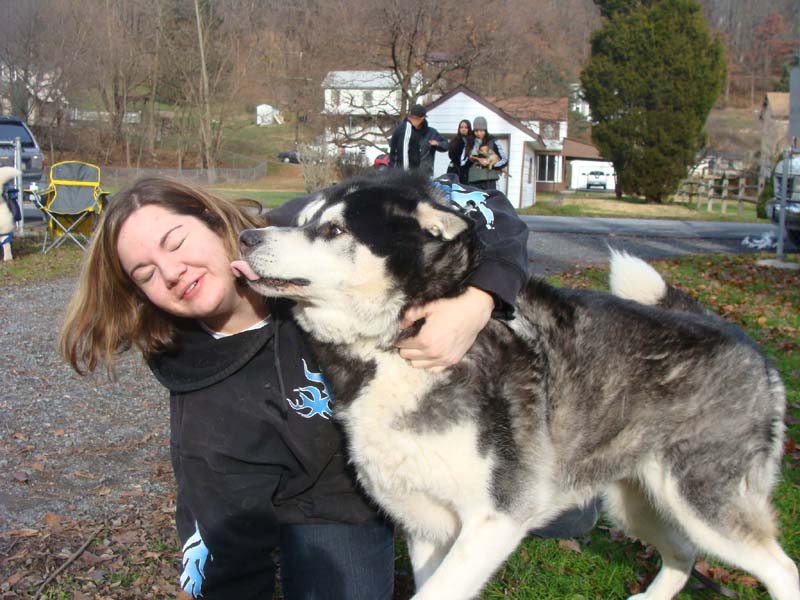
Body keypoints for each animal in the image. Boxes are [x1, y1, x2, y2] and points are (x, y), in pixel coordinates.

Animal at [230, 172, 792, 600]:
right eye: (304, 220)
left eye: (333, 229)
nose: (247, 238)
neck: (391, 344)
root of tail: (729, 328)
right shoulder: (428, 525)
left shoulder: (494, 519)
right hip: (636, 503)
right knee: (683, 552)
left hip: (702, 501)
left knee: (781, 570)